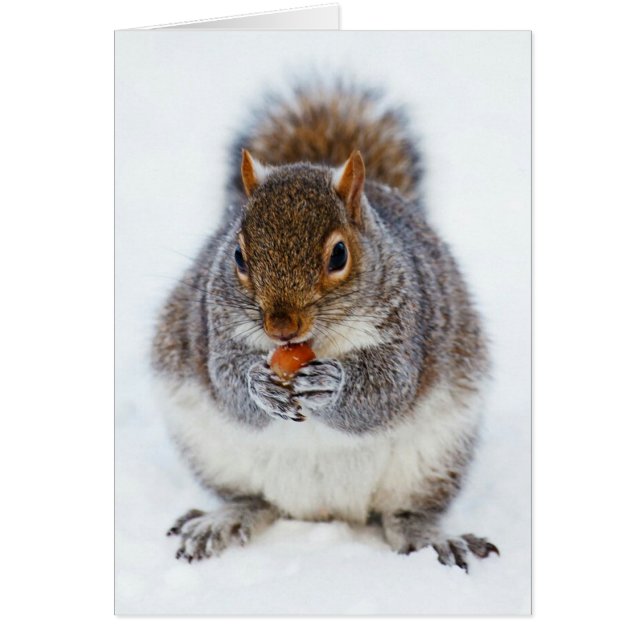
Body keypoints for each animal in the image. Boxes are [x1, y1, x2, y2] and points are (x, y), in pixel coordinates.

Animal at [153, 83, 499, 571]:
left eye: (339, 255)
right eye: (238, 255)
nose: (281, 327)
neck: (314, 343)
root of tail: (324, 510)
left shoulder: (411, 326)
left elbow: (387, 390)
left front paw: (330, 385)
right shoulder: (213, 325)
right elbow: (226, 382)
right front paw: (259, 384)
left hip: (434, 458)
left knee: (405, 513)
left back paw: (432, 538)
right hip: (211, 450)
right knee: (254, 500)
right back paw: (222, 520)